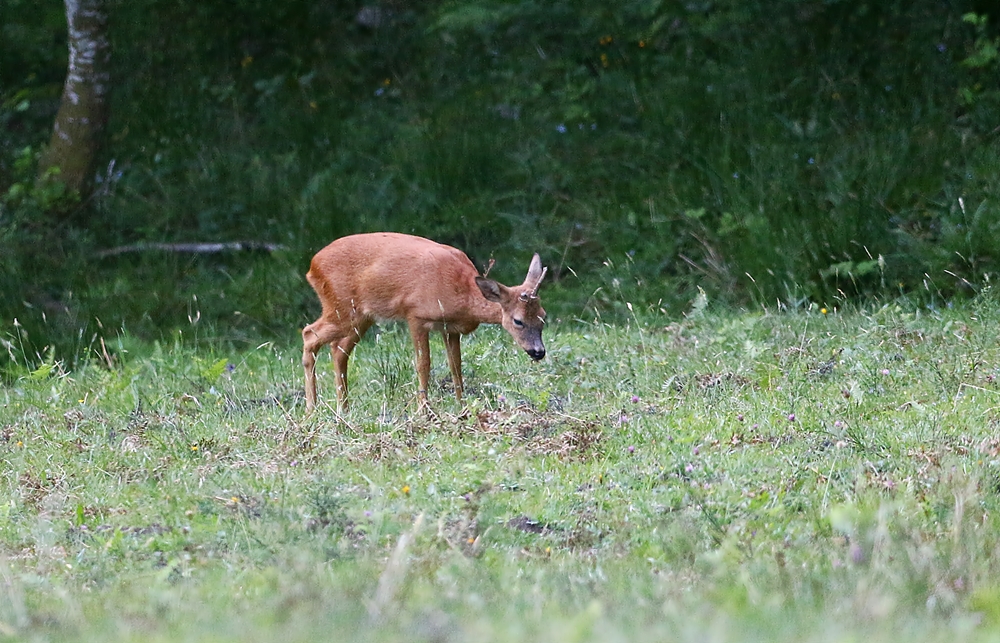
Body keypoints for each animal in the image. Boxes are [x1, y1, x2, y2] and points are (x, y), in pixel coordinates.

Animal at [302, 233, 548, 412]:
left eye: (543, 316)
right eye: (518, 321)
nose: (538, 352)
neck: (461, 293)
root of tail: (312, 265)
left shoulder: (450, 328)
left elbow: (456, 366)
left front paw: (461, 406)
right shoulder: (416, 316)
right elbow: (423, 364)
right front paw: (424, 409)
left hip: (361, 316)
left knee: (338, 349)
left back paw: (343, 407)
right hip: (341, 307)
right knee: (309, 334)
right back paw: (312, 408)